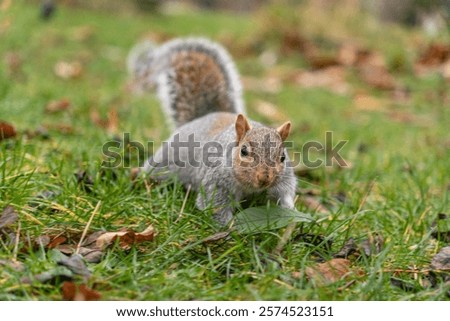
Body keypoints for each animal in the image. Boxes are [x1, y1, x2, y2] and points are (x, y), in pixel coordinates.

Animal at [127, 36, 296, 224]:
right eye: (244, 151)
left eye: (283, 157)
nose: (264, 178)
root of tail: (205, 116)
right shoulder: (216, 182)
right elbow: (214, 205)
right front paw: (230, 226)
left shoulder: (285, 178)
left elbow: (286, 192)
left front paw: (290, 211)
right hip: (166, 161)